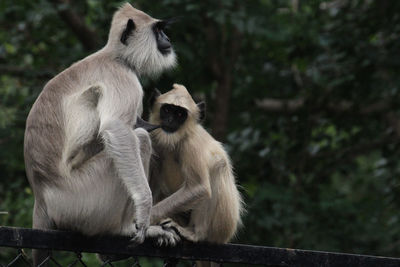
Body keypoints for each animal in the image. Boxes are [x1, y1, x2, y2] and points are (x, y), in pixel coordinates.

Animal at [25, 3, 180, 266]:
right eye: (158, 31)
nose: (167, 39)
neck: (115, 57)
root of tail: (42, 197)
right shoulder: (122, 77)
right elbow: (116, 129)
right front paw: (144, 208)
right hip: (82, 201)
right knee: (140, 139)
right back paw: (122, 231)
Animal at [148, 84, 244, 267]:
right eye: (167, 110)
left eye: (180, 114)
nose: (170, 120)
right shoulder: (154, 139)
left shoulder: (191, 144)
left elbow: (199, 188)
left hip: (222, 225)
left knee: (217, 165)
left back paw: (195, 233)